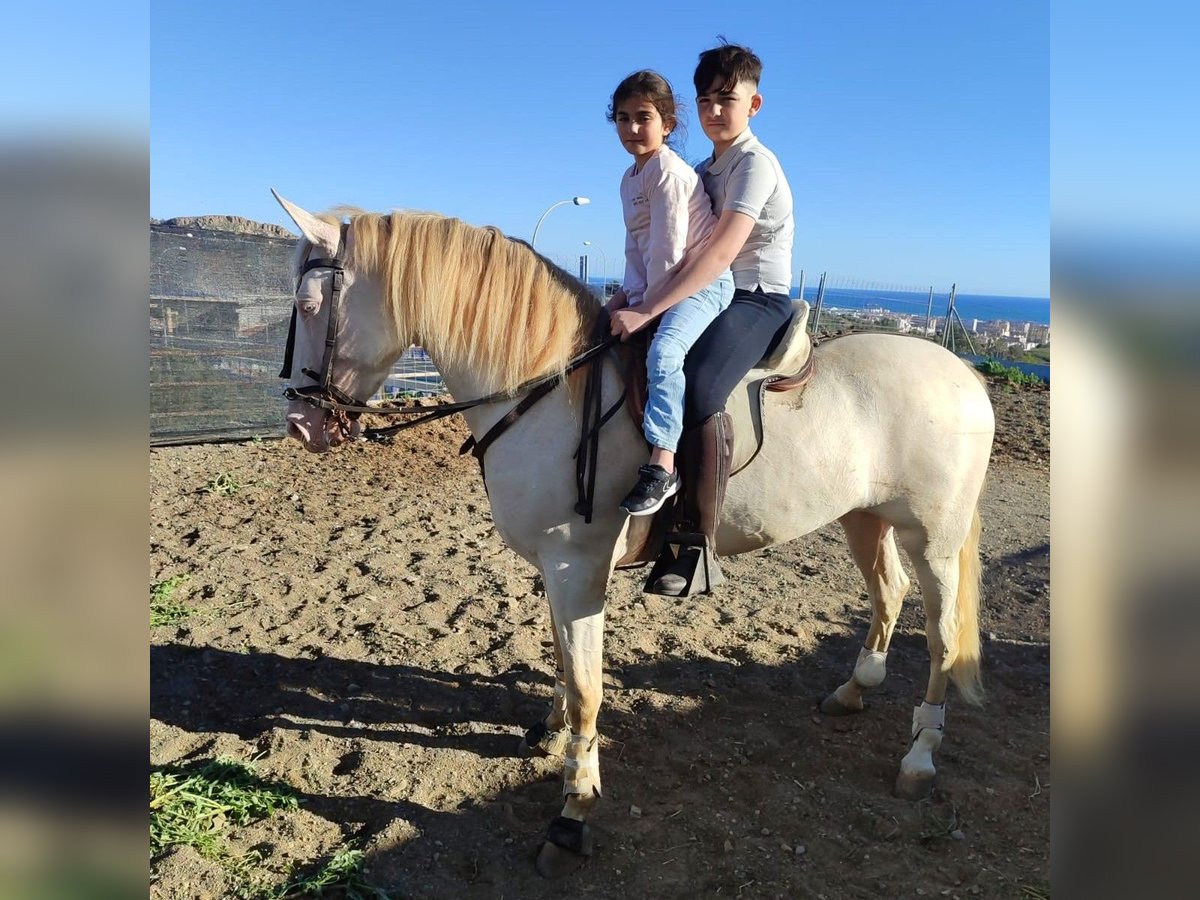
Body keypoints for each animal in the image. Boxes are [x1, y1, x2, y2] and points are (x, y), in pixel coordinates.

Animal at [271, 192, 994, 877]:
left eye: (307, 305)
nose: (302, 427)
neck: (549, 389)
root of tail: (963, 375)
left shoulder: (576, 566)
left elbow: (589, 685)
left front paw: (573, 810)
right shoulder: (555, 568)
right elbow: (564, 661)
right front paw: (551, 731)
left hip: (933, 539)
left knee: (942, 637)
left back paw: (920, 756)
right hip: (864, 516)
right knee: (889, 592)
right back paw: (854, 689)